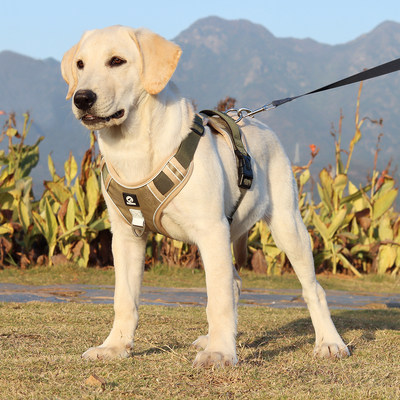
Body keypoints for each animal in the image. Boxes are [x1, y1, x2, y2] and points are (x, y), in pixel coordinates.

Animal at [61, 25, 348, 368]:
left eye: (117, 61)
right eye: (80, 64)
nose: (81, 98)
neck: (134, 148)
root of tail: (255, 120)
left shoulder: (212, 229)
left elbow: (219, 300)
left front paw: (221, 352)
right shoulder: (127, 236)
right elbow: (124, 299)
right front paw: (115, 346)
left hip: (287, 226)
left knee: (311, 289)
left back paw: (329, 342)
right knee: (233, 283)